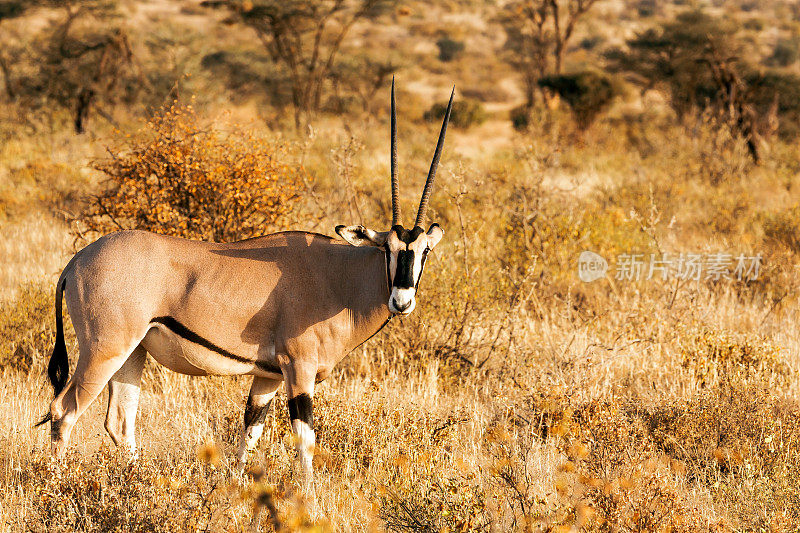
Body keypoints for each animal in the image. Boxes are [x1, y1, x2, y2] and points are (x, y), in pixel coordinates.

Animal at [37, 80, 454, 482]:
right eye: (388, 248)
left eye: (424, 251)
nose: (401, 300)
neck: (340, 277)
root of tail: (76, 261)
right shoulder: (298, 369)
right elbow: (305, 440)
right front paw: (309, 495)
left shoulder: (268, 377)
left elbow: (250, 433)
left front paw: (235, 487)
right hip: (104, 350)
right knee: (64, 409)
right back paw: (54, 484)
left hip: (132, 353)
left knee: (120, 421)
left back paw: (137, 481)